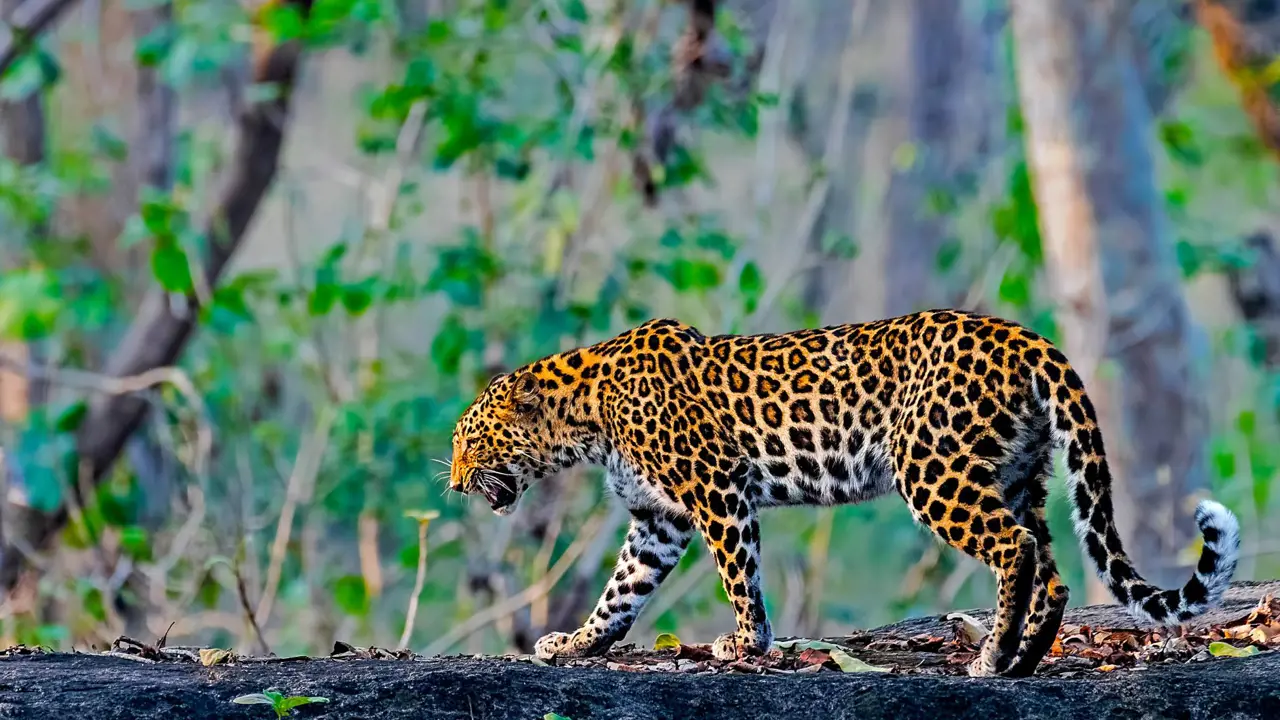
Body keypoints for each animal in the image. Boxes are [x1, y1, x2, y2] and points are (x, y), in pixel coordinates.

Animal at [450, 307, 1239, 671]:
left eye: (471, 441)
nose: (456, 484)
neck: (584, 416)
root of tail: (1025, 337)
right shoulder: (656, 519)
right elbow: (622, 591)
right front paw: (578, 642)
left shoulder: (714, 490)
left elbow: (739, 572)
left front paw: (747, 643)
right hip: (1016, 473)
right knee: (1050, 565)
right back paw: (1020, 659)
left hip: (934, 468)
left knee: (1015, 549)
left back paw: (989, 659)